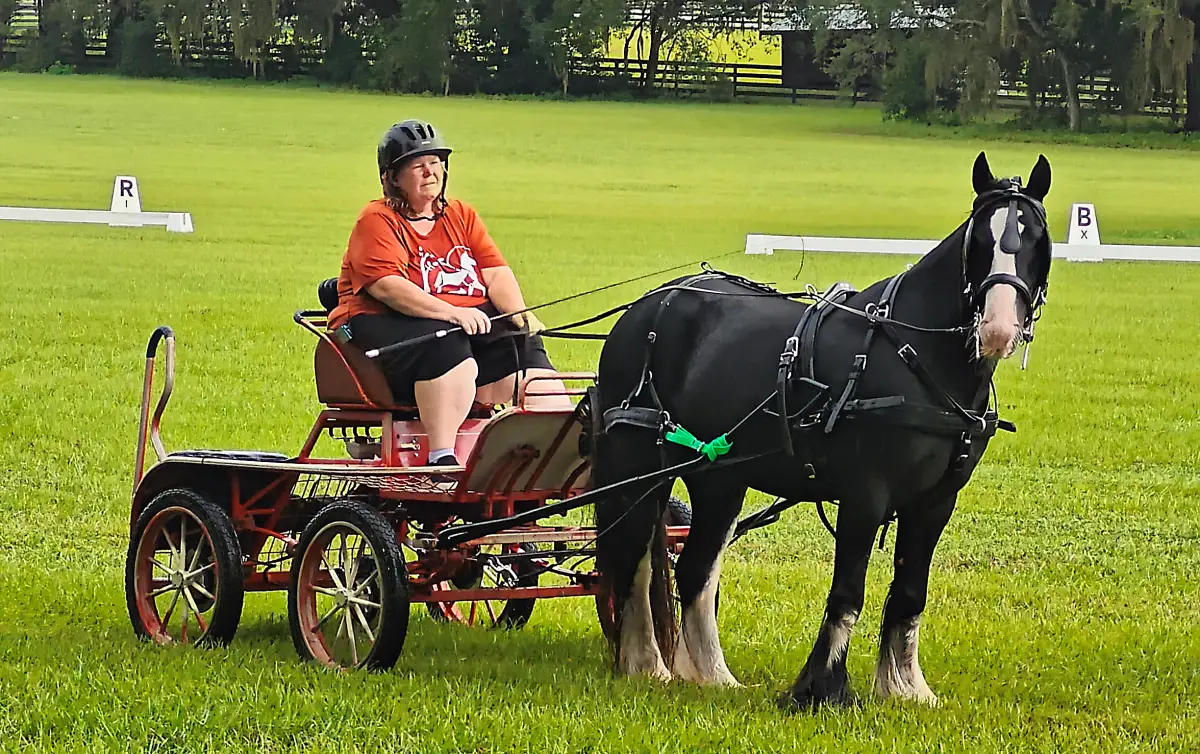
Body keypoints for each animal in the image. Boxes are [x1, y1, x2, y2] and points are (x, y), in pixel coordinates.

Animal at [590, 151, 1053, 710]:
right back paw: (646, 664)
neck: (913, 355)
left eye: (1036, 239)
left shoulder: (936, 501)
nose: (998, 329)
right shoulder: (866, 495)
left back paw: (710, 674)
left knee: (694, 568)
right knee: (636, 561)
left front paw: (905, 686)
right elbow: (848, 592)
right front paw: (822, 687)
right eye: (981, 239)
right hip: (639, 465)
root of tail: (646, 305)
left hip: (718, 476)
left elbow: (910, 593)